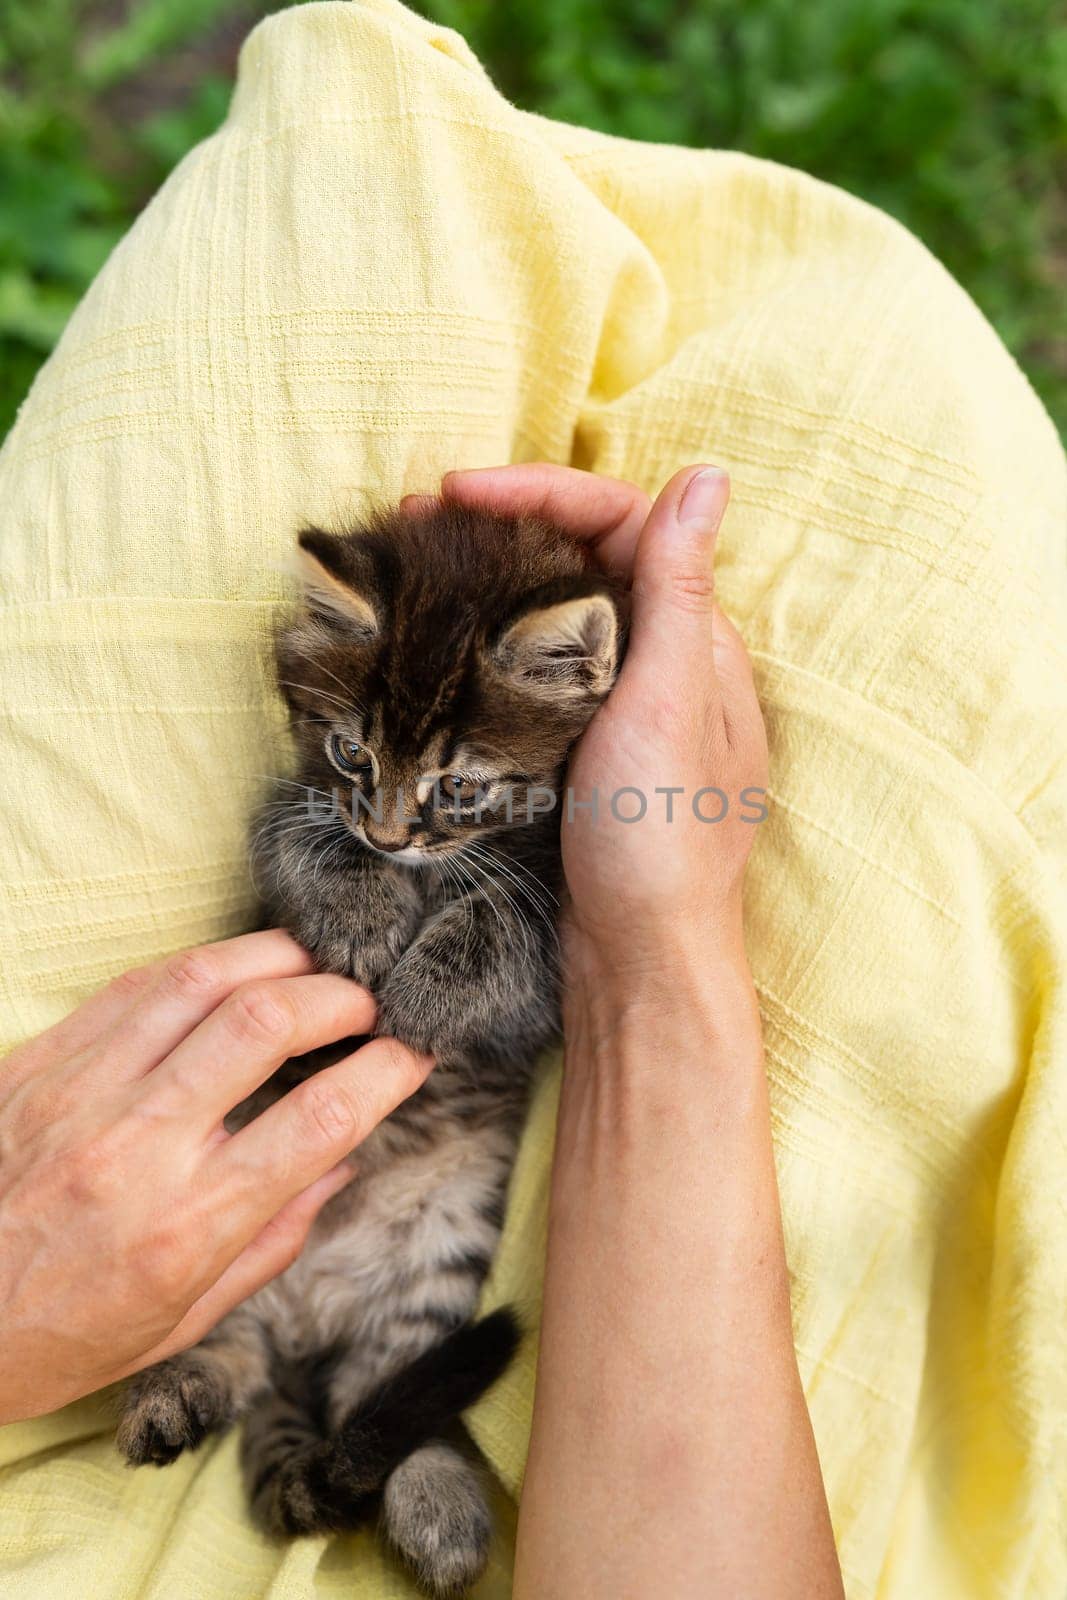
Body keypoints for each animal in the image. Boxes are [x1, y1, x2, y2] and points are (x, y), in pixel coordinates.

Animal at [119, 499, 627, 1600]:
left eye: (458, 785)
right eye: (353, 754)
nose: (390, 836)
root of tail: (302, 1319)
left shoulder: (558, 913)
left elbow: (499, 920)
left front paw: (430, 994)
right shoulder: (290, 804)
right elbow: (303, 832)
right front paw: (358, 916)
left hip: (439, 1258)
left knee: (384, 1401)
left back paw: (437, 1503)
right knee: (237, 1358)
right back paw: (172, 1392)